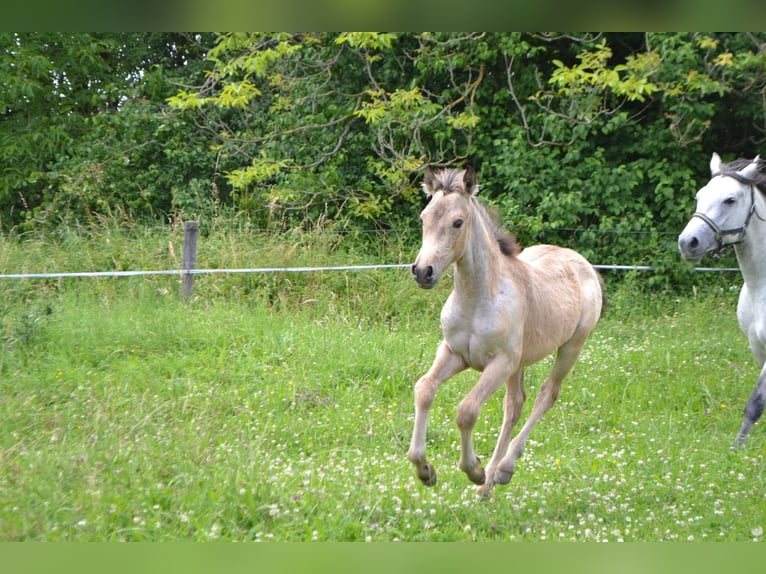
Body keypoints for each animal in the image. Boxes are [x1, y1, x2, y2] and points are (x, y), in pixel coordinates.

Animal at [408, 165, 608, 496]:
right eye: (424, 217)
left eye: (458, 222)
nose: (424, 272)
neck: (477, 299)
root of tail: (583, 264)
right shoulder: (453, 353)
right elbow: (424, 389)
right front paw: (425, 470)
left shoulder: (500, 362)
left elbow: (467, 410)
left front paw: (473, 469)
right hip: (520, 362)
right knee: (514, 405)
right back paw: (488, 484)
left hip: (570, 347)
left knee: (546, 395)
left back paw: (499, 470)